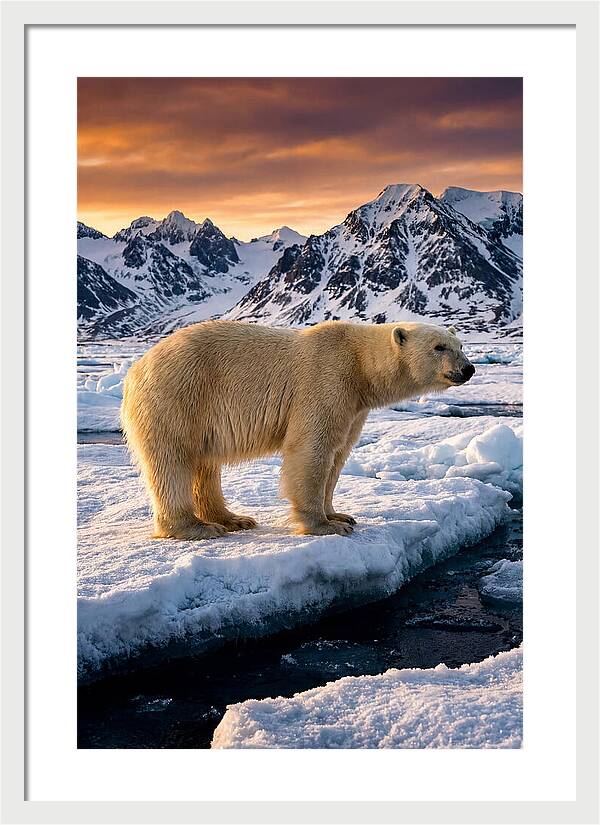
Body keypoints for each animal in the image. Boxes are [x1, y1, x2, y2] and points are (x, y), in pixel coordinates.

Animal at [121, 320, 475, 539]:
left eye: (460, 344)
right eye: (439, 347)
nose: (468, 368)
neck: (360, 365)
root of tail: (137, 368)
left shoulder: (353, 407)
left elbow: (337, 455)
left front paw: (340, 515)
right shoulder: (326, 381)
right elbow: (311, 450)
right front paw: (325, 526)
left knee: (205, 464)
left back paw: (233, 519)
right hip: (179, 395)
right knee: (173, 460)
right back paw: (196, 527)